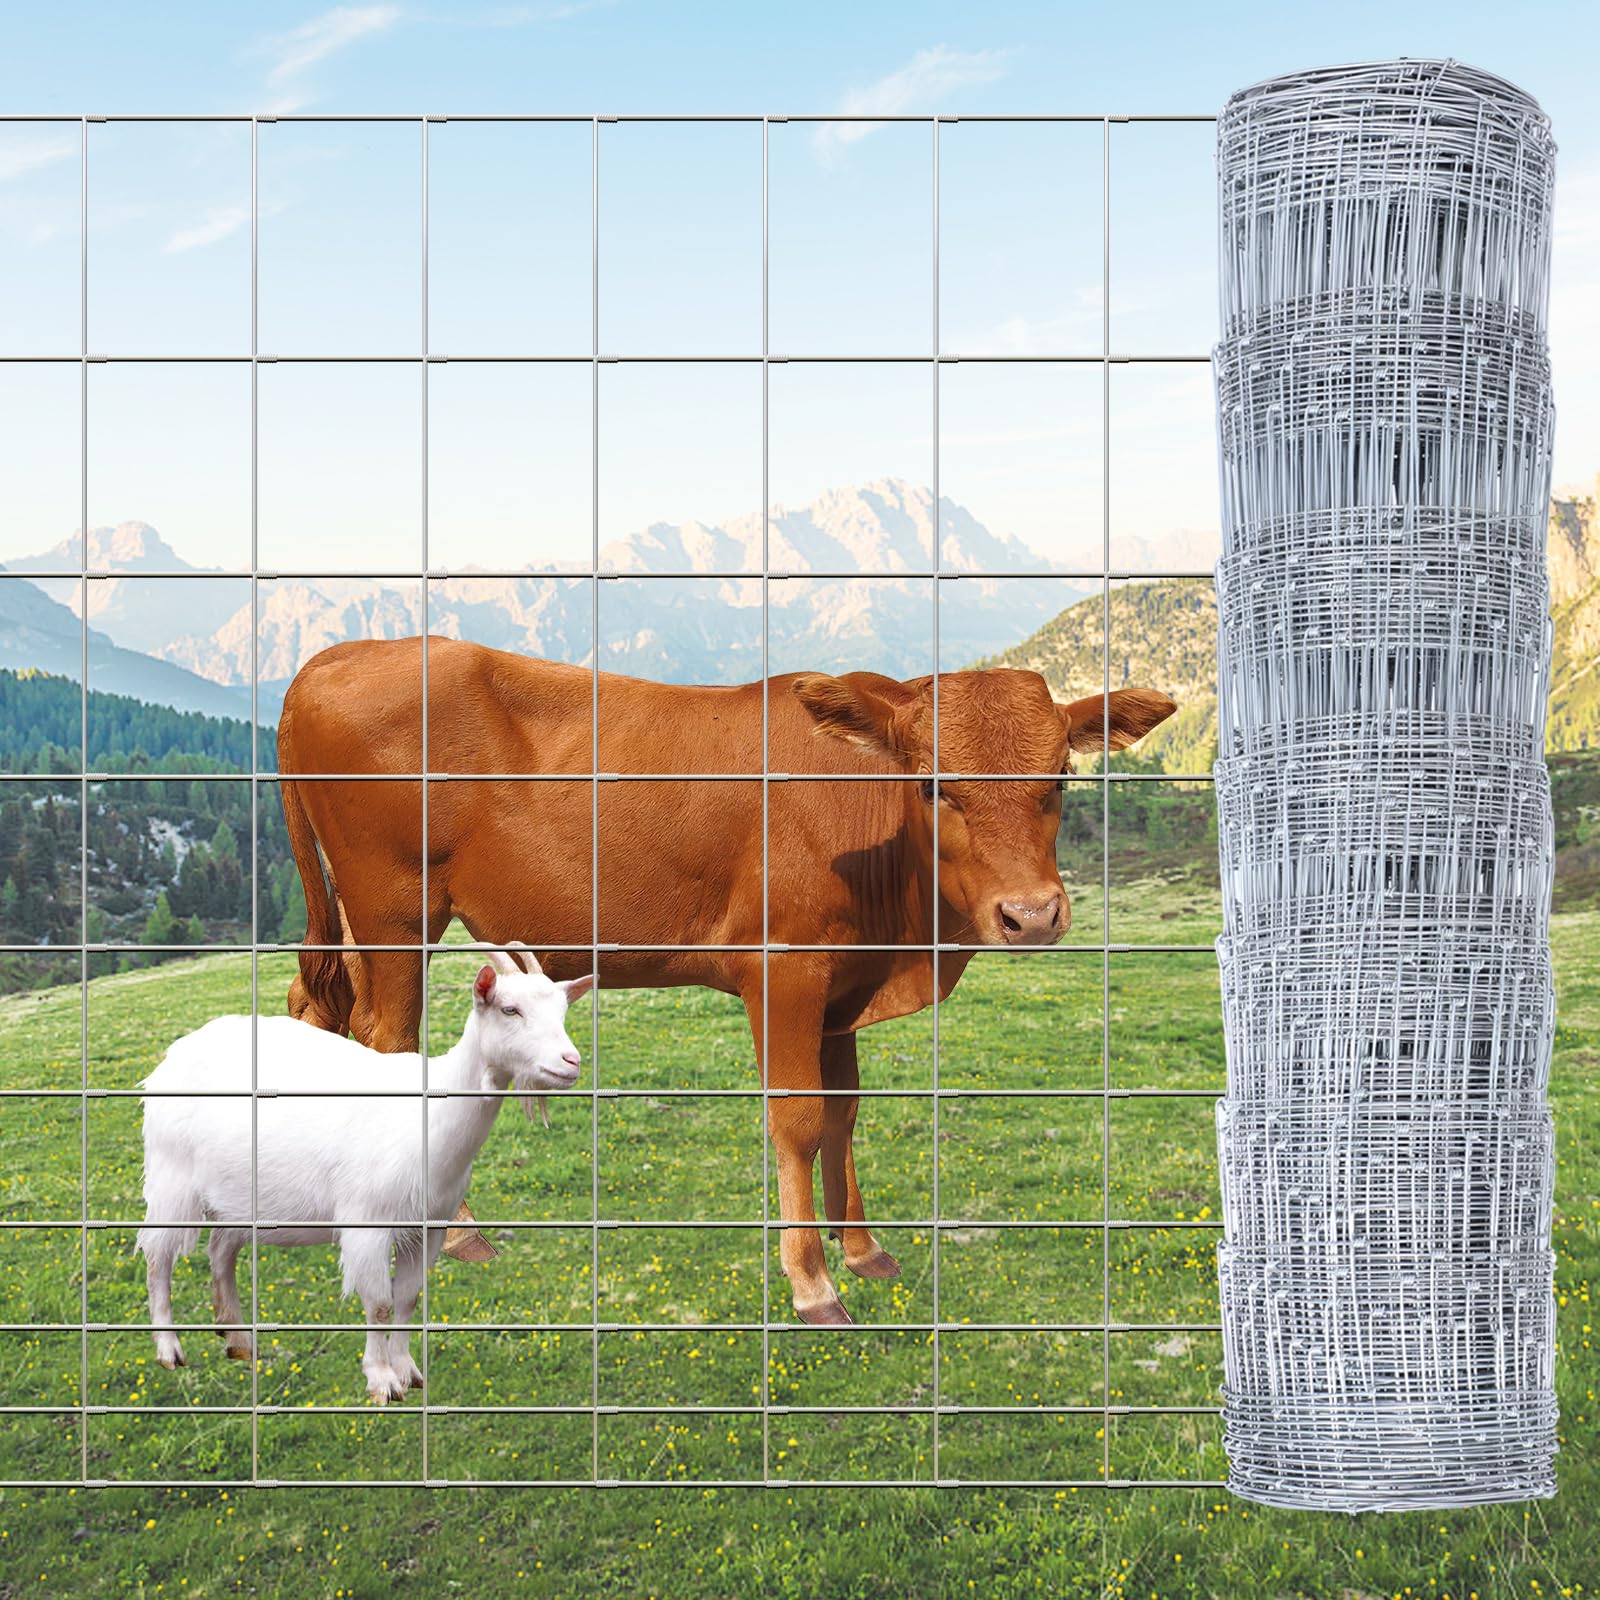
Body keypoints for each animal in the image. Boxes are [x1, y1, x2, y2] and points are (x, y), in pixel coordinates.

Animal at [277, 638, 1176, 1325]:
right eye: (933, 784)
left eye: (1060, 778)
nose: (1032, 914)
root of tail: (336, 657)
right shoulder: (783, 973)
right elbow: (799, 1120)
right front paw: (812, 1283)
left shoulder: (842, 989)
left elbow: (845, 1113)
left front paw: (863, 1249)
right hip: (396, 911)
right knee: (389, 1037)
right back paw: (451, 1229)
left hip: (363, 920)